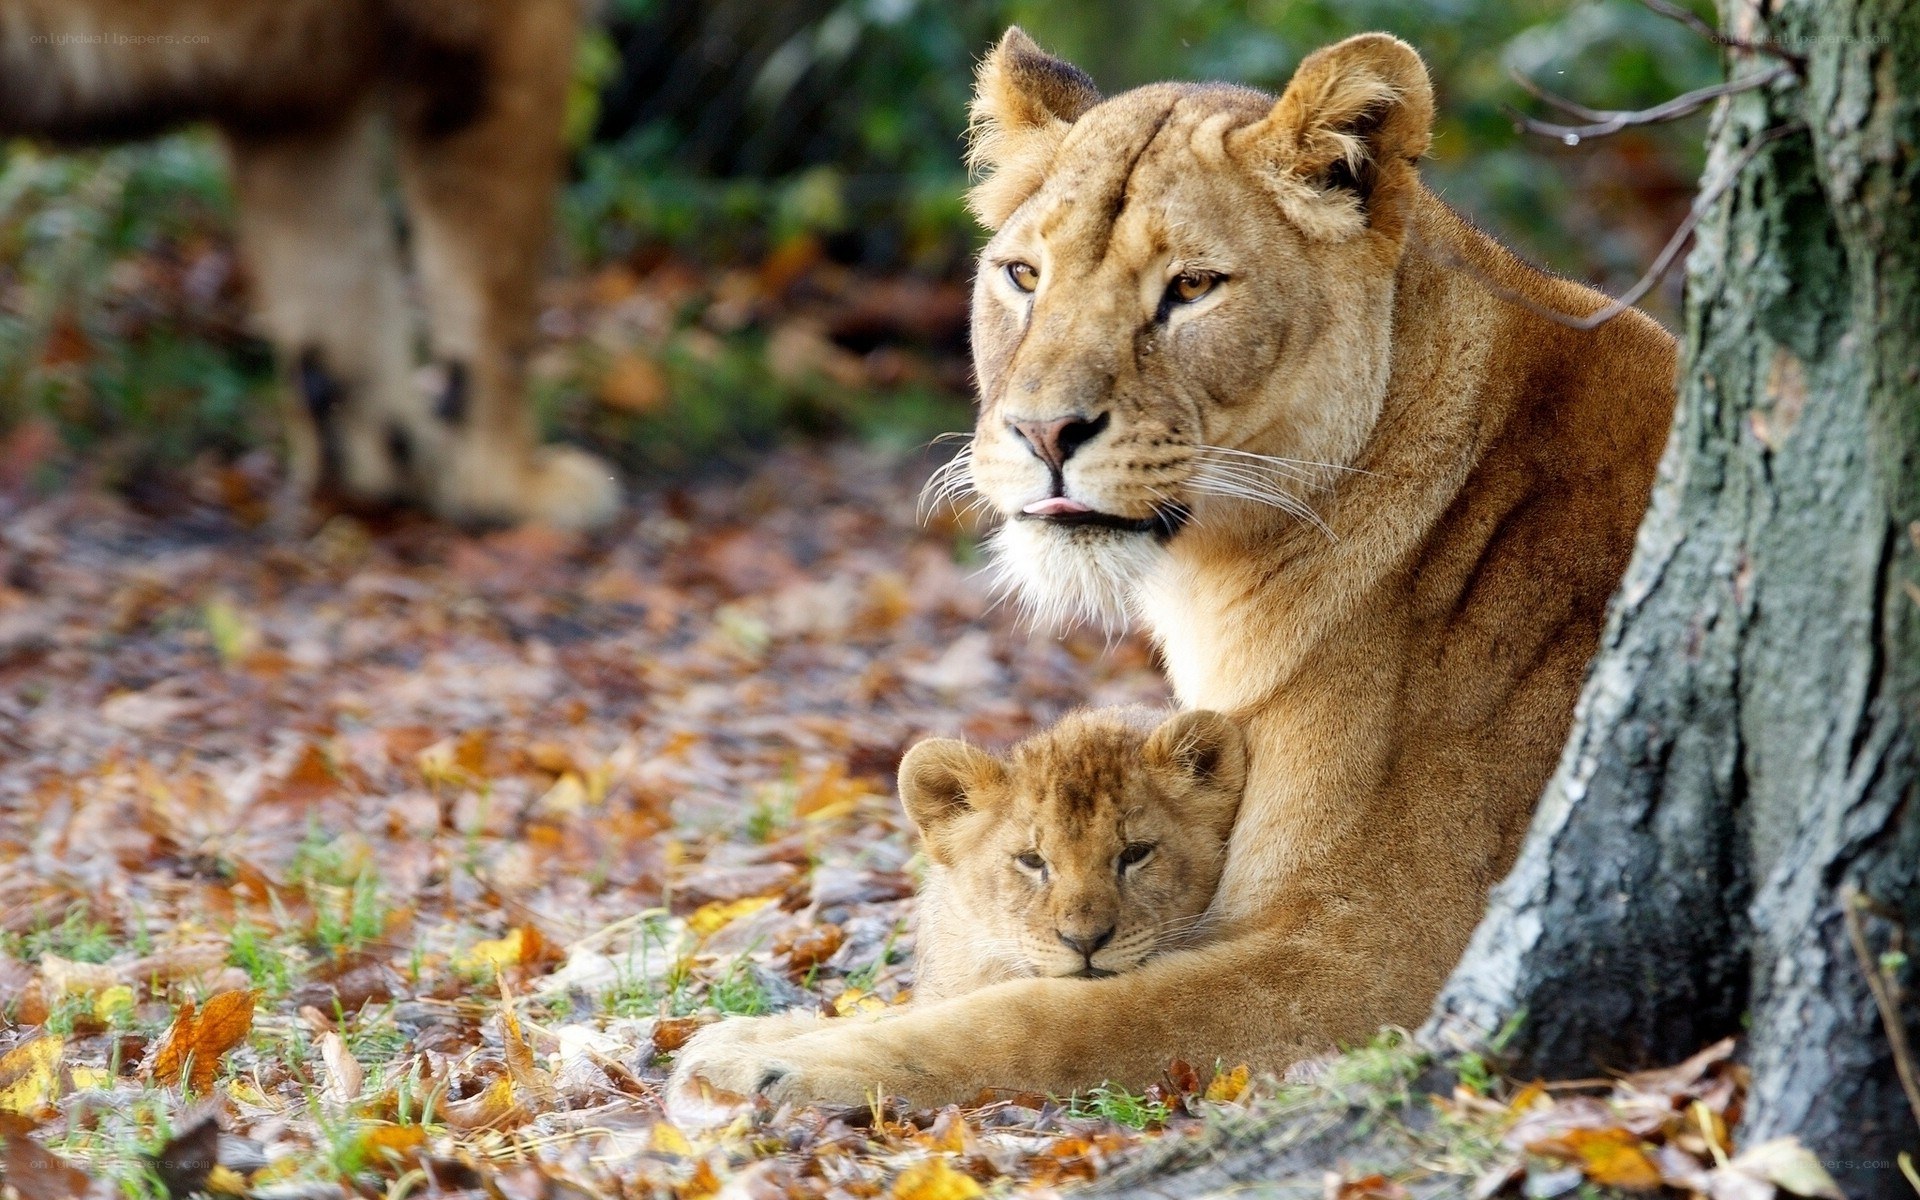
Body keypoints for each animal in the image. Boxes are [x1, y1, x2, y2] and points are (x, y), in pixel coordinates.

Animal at [0, 0, 618, 528]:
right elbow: (495, 298)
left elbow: (338, 298)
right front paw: (515, 487)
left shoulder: (293, 102)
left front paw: (379, 471)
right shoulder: (494, 31)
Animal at [668, 26, 1677, 1113]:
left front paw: (765, 1052)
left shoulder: (1386, 954)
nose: (1042, 432)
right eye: (1022, 275)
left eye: (1192, 288)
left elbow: (1056, 1018)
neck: (1230, 567)